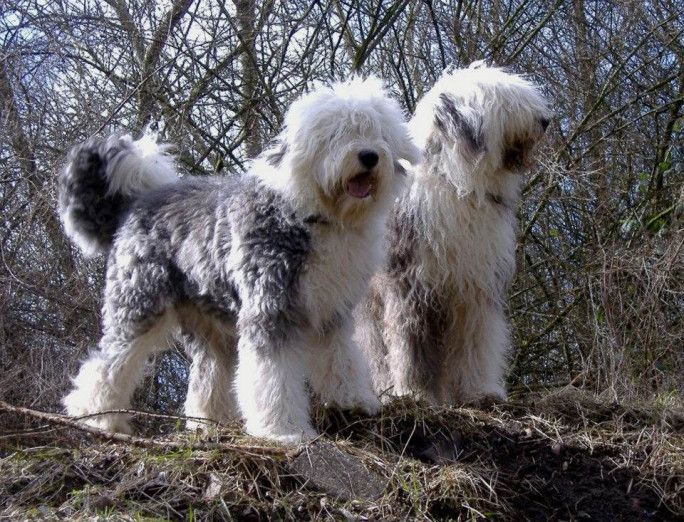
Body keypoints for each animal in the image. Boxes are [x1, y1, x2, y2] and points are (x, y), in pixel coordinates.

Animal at [60, 78, 422, 442]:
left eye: (375, 131)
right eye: (336, 133)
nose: (369, 156)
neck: (314, 213)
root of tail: (135, 204)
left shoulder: (330, 311)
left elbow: (341, 358)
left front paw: (354, 401)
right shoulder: (271, 308)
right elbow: (273, 376)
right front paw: (283, 429)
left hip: (210, 322)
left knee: (208, 374)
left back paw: (211, 421)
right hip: (139, 303)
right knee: (109, 362)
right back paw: (96, 416)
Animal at [358, 64, 552, 402]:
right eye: (505, 100)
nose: (545, 121)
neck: (457, 184)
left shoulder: (474, 287)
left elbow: (476, 344)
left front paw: (481, 391)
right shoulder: (412, 285)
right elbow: (411, 348)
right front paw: (416, 392)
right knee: (374, 349)